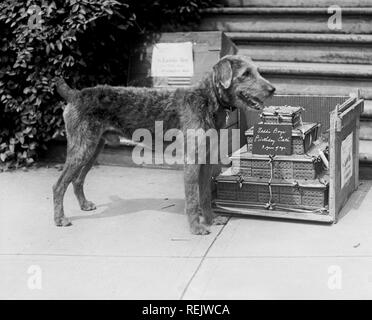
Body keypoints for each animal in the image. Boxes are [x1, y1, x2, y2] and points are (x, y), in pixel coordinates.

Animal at [53, 55, 274, 235]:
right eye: (246, 74)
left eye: (257, 71)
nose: (273, 89)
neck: (207, 100)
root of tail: (74, 95)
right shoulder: (191, 162)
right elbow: (193, 199)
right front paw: (196, 228)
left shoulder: (205, 161)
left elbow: (203, 196)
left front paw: (210, 220)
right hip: (82, 149)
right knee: (59, 184)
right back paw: (60, 219)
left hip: (93, 149)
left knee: (77, 180)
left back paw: (84, 205)